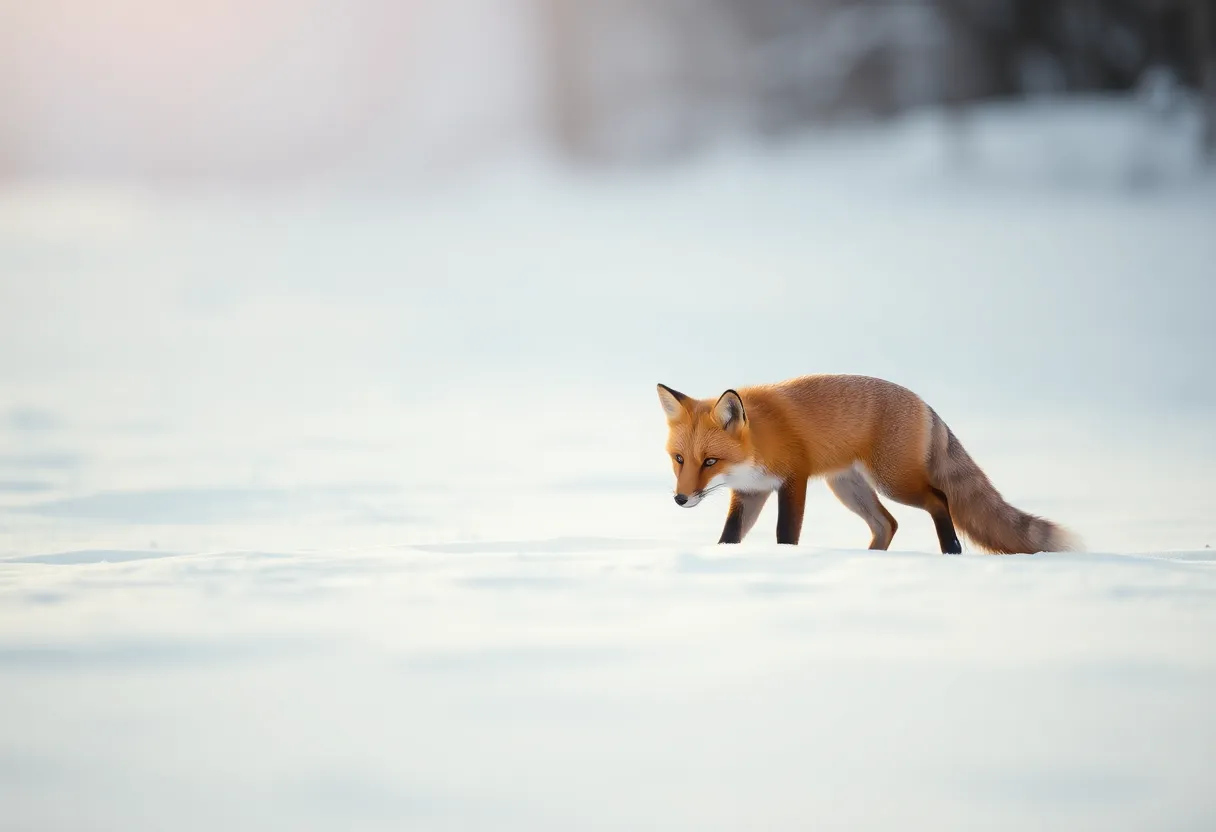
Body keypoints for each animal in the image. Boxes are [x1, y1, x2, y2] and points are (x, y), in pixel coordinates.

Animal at [656, 374, 1078, 554]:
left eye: (710, 461)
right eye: (680, 459)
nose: (680, 499)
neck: (759, 441)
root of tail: (925, 403)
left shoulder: (794, 479)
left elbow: (785, 533)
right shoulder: (750, 491)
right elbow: (730, 534)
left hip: (894, 482)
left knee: (940, 500)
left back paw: (952, 551)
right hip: (847, 488)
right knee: (887, 524)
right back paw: (871, 560)